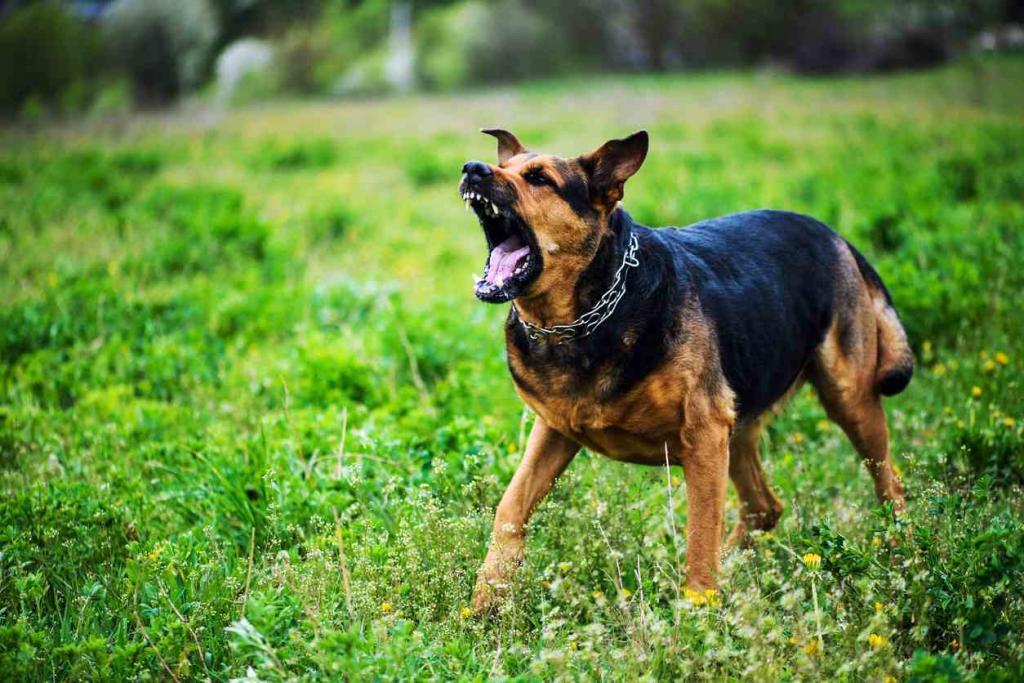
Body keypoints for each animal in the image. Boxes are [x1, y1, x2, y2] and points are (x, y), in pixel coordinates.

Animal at [456, 127, 913, 614]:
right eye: (500, 165)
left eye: (540, 178)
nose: (473, 169)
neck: (584, 313)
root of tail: (836, 236)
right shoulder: (554, 431)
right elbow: (510, 507)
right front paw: (485, 600)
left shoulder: (704, 435)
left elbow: (700, 533)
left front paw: (698, 614)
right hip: (741, 420)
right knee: (764, 506)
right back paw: (735, 565)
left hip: (848, 399)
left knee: (890, 486)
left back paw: (903, 556)